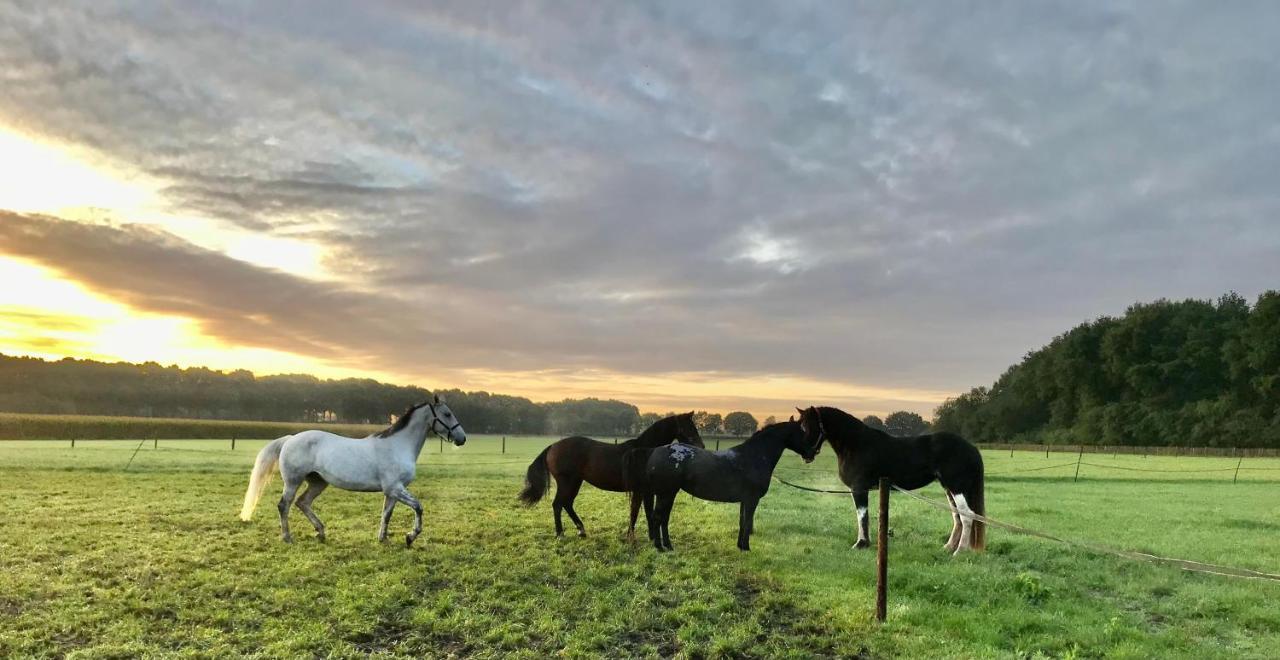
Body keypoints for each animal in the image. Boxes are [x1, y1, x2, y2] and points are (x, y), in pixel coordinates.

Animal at [239, 396, 465, 547]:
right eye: (447, 414)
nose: (462, 438)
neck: (398, 445)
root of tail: (290, 438)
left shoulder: (392, 491)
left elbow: (386, 514)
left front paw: (383, 539)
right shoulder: (395, 489)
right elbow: (418, 507)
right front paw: (410, 537)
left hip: (318, 482)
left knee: (302, 502)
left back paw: (320, 532)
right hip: (293, 481)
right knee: (284, 505)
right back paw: (287, 537)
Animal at [517, 414, 706, 539]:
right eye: (688, 427)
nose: (701, 447)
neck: (644, 452)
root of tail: (553, 446)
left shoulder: (645, 491)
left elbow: (646, 512)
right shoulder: (641, 491)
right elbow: (636, 512)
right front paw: (631, 536)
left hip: (576, 482)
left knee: (567, 504)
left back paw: (581, 530)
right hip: (566, 482)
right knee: (558, 504)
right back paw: (560, 534)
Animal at [634, 422, 814, 552]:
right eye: (802, 433)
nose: (811, 454)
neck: (755, 456)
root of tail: (654, 453)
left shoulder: (745, 501)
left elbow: (742, 522)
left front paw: (740, 546)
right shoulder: (752, 500)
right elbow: (747, 523)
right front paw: (746, 548)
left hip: (668, 494)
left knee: (663, 518)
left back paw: (668, 546)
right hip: (666, 494)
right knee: (658, 518)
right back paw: (660, 548)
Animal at [793, 404, 983, 555]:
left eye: (808, 426)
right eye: (801, 426)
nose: (806, 455)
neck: (855, 444)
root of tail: (970, 447)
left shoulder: (859, 488)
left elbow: (862, 515)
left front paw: (861, 544)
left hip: (957, 487)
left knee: (967, 516)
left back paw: (959, 551)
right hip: (948, 488)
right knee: (957, 516)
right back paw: (948, 547)